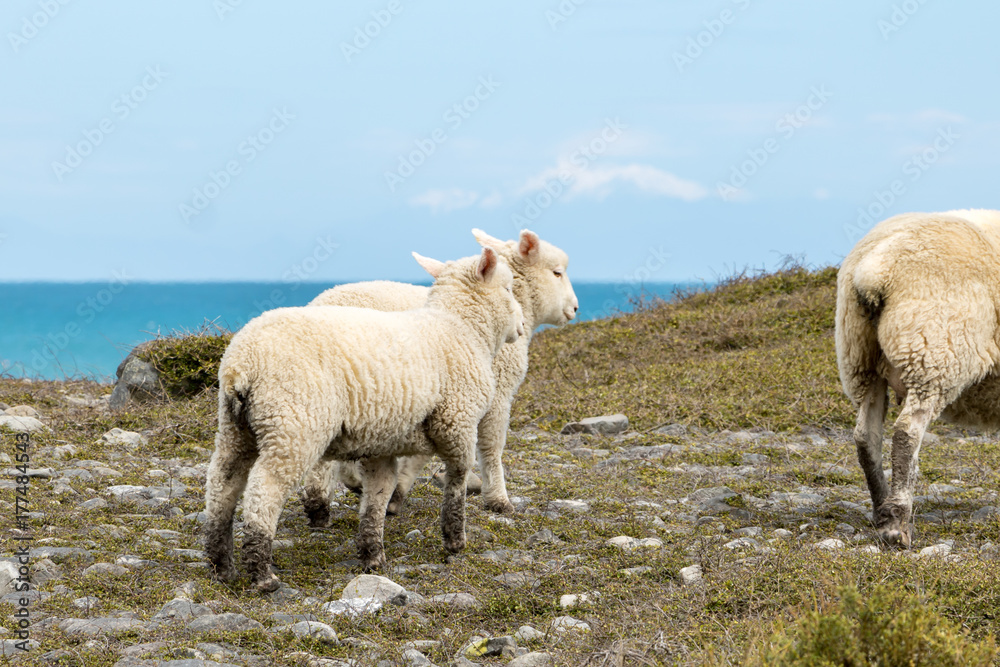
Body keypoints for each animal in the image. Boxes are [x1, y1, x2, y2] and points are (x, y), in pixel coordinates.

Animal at [203, 247, 525, 592]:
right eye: (508, 288)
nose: (521, 325)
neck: (460, 327)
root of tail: (241, 365)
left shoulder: (381, 445)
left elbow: (378, 496)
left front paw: (372, 554)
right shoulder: (457, 423)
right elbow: (457, 481)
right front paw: (454, 540)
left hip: (235, 429)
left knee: (222, 486)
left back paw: (221, 564)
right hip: (292, 427)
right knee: (264, 491)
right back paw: (262, 572)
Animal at [299, 228, 579, 524]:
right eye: (557, 273)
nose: (575, 308)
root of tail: (318, 302)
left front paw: (396, 490)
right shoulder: (492, 393)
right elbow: (491, 447)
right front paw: (498, 499)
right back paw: (320, 502)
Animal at [836, 209, 1000, 547]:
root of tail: (874, 269)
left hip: (860, 357)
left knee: (866, 436)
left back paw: (882, 512)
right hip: (933, 354)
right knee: (906, 433)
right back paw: (897, 525)